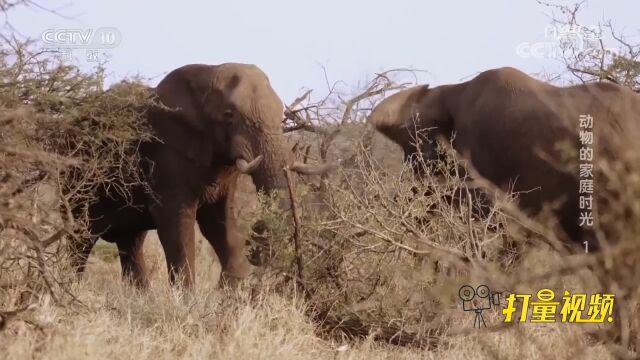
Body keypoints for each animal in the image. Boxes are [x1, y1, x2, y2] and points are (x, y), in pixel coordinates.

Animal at [70, 63, 332, 290]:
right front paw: (187, 300)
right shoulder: (165, 155)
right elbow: (175, 221)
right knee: (82, 239)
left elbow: (218, 220)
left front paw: (232, 288)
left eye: (281, 114)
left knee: (131, 243)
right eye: (229, 115)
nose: (256, 236)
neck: (208, 72)